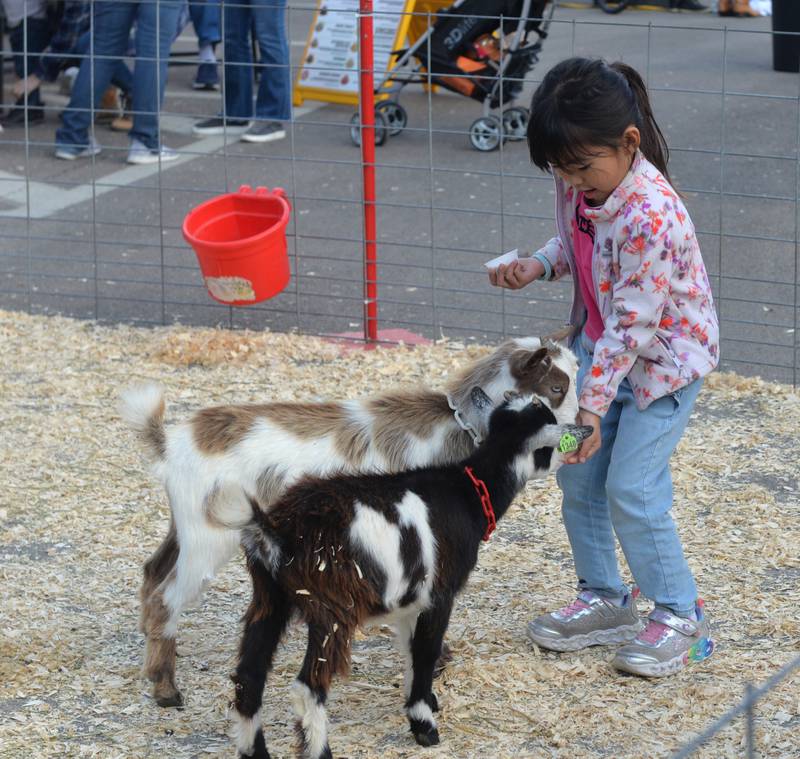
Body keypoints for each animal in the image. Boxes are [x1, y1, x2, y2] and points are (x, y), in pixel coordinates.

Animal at [122, 336, 580, 708]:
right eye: (555, 390)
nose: (579, 433)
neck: (456, 429)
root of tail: (171, 442)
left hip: (186, 526)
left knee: (154, 570)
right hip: (208, 537)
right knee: (167, 594)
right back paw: (165, 689)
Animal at [228, 392, 592, 759]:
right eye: (551, 426)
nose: (585, 433)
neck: (470, 493)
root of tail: (275, 532)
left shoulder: (410, 596)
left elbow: (410, 648)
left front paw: (424, 699)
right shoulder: (440, 593)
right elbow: (427, 651)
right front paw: (423, 724)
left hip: (269, 597)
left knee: (248, 677)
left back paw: (255, 751)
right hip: (330, 608)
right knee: (307, 687)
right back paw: (320, 748)